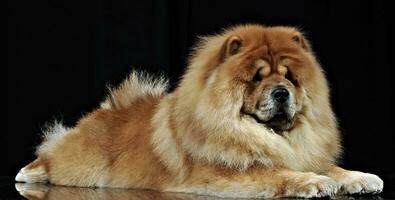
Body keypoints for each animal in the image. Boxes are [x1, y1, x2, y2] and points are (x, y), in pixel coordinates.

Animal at [15, 24, 384, 198]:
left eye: (290, 77)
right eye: (257, 78)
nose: (281, 92)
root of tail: (109, 108)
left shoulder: (302, 152)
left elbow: (331, 167)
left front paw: (360, 178)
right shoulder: (226, 173)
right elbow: (277, 173)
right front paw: (314, 182)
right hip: (82, 165)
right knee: (50, 156)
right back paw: (28, 173)